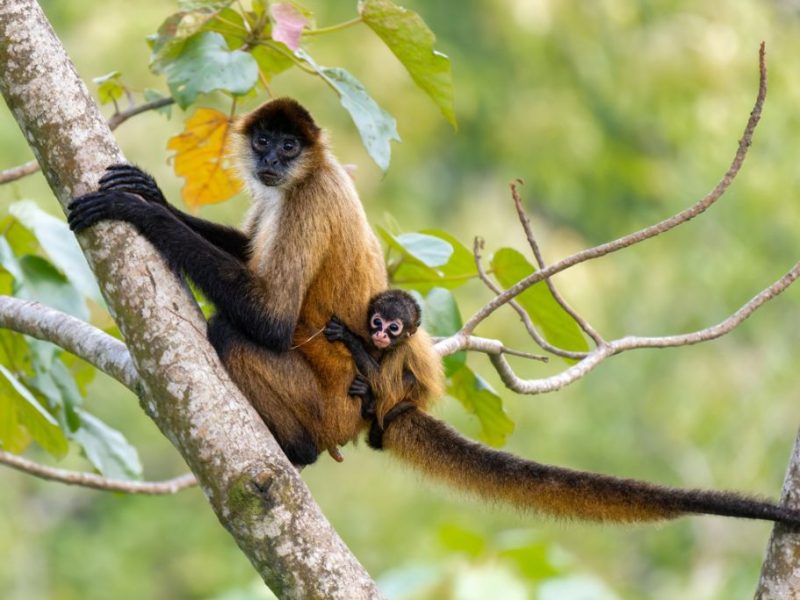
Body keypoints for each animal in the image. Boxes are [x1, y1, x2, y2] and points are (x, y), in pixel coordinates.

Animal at [69, 97, 800, 525]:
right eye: (265, 143)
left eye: (290, 147)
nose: (272, 158)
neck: (303, 177)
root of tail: (385, 401)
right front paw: (149, 192)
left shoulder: (307, 196)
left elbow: (271, 318)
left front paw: (139, 211)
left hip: (326, 405)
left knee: (231, 330)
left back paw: (294, 451)